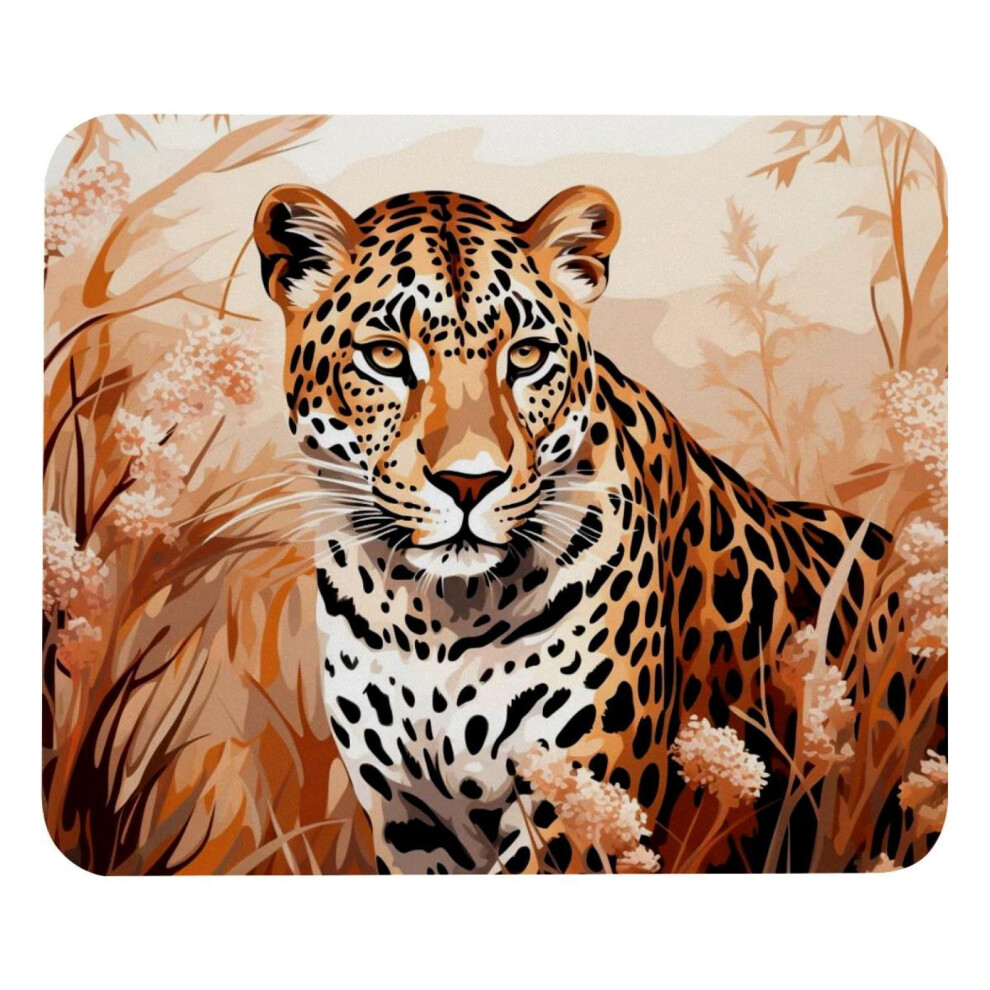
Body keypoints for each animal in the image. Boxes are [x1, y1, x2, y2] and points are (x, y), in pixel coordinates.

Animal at [253, 183, 901, 874]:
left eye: (527, 355)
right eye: (385, 356)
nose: (469, 482)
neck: (434, 623)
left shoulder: (577, 798)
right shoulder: (409, 819)